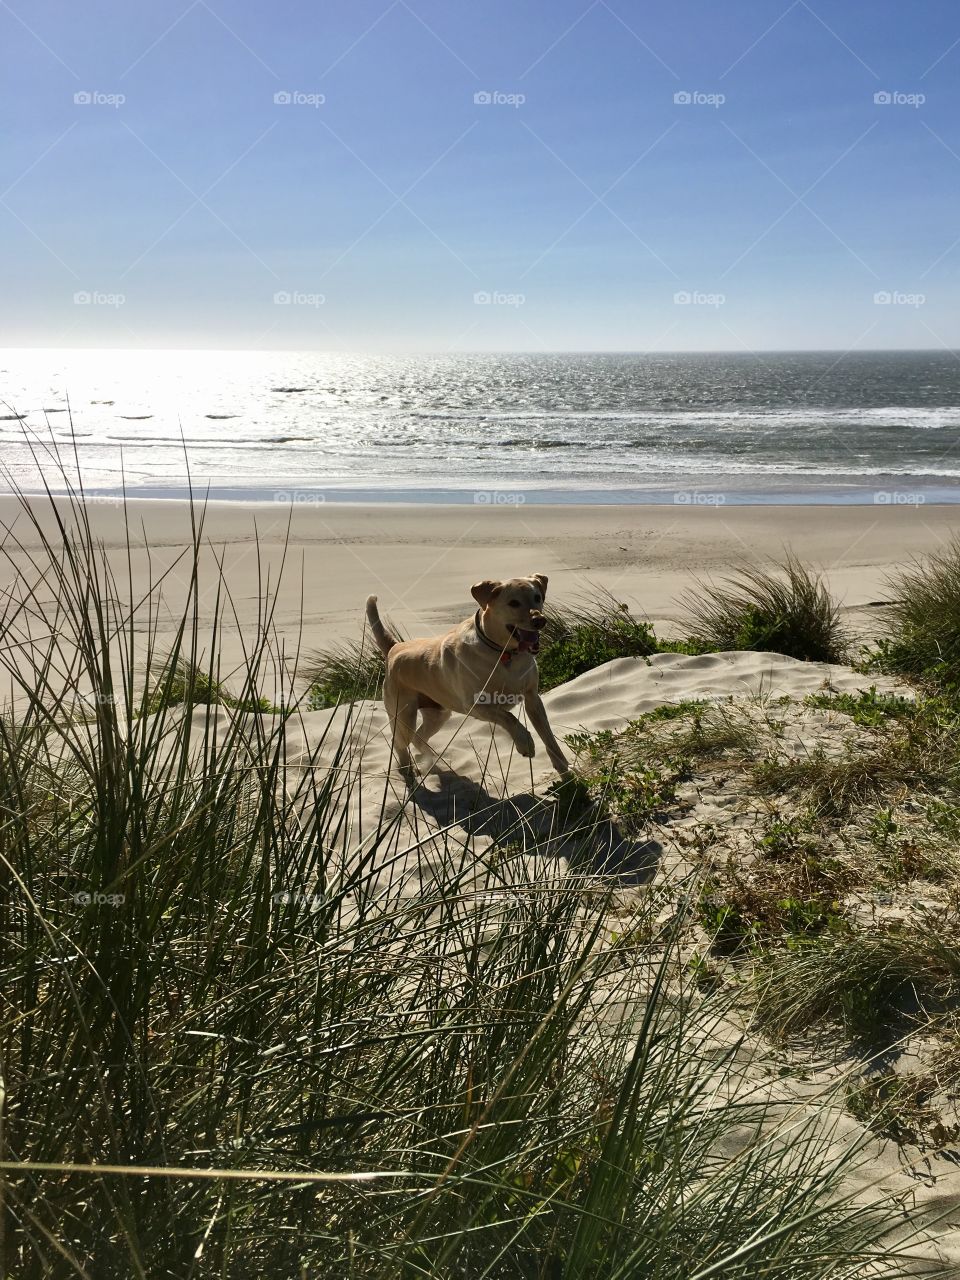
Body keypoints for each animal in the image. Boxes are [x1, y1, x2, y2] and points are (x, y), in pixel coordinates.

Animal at [368, 578, 570, 778]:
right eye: (513, 603)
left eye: (537, 597)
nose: (539, 620)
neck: (503, 653)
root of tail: (395, 648)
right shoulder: (476, 705)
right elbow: (510, 717)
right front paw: (525, 743)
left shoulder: (532, 698)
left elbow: (549, 738)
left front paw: (565, 772)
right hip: (404, 717)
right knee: (399, 742)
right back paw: (406, 769)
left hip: (439, 715)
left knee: (419, 737)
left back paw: (430, 760)